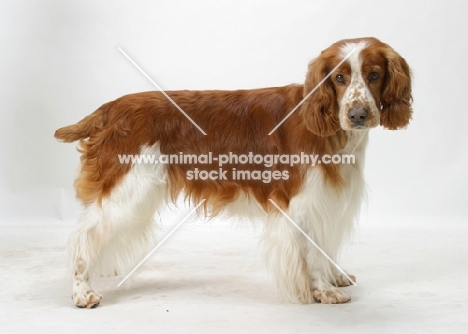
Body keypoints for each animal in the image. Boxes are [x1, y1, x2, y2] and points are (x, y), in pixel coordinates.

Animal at [56, 37, 412, 308]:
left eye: (374, 75)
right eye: (339, 78)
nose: (358, 114)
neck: (328, 126)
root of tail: (109, 109)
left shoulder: (329, 198)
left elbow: (326, 245)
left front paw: (335, 276)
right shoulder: (303, 203)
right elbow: (311, 251)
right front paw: (323, 289)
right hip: (128, 187)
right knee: (83, 237)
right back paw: (82, 292)